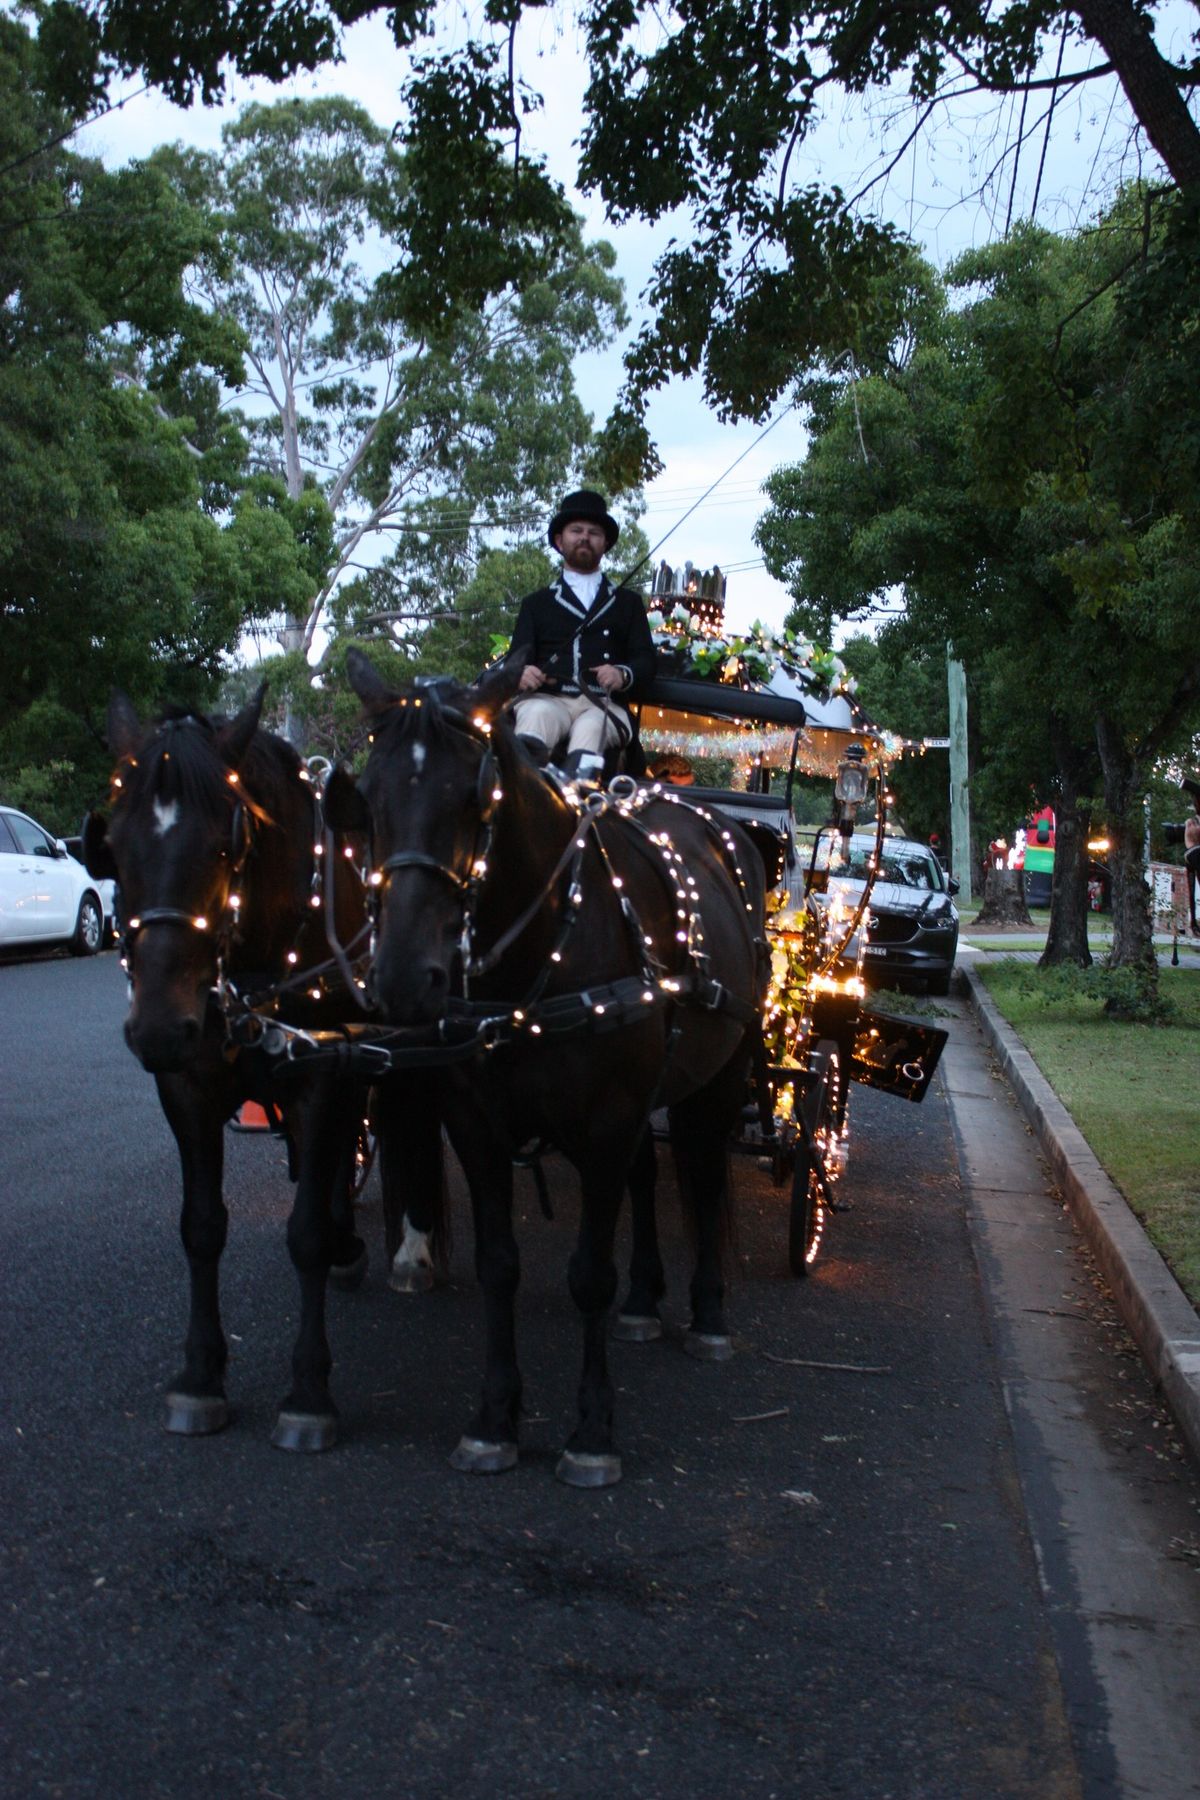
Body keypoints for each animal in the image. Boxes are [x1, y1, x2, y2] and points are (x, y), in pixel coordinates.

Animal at [84, 684, 444, 1447]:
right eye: (115, 849)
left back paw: (392, 1246)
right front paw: (200, 1376)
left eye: (228, 846)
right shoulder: (187, 1089)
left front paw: (308, 1390)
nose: (159, 1027)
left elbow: (302, 1234)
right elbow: (201, 1226)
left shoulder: (322, 1075)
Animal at [325, 655, 770, 1483]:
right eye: (365, 800)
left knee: (701, 1175)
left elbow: (588, 1274)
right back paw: (644, 1302)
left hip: (720, 1075)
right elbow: (500, 1264)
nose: (402, 977)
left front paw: (592, 1429)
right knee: (646, 1177)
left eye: (476, 797)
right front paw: (495, 1418)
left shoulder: (606, 1120)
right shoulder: (480, 1125)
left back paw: (708, 1314)